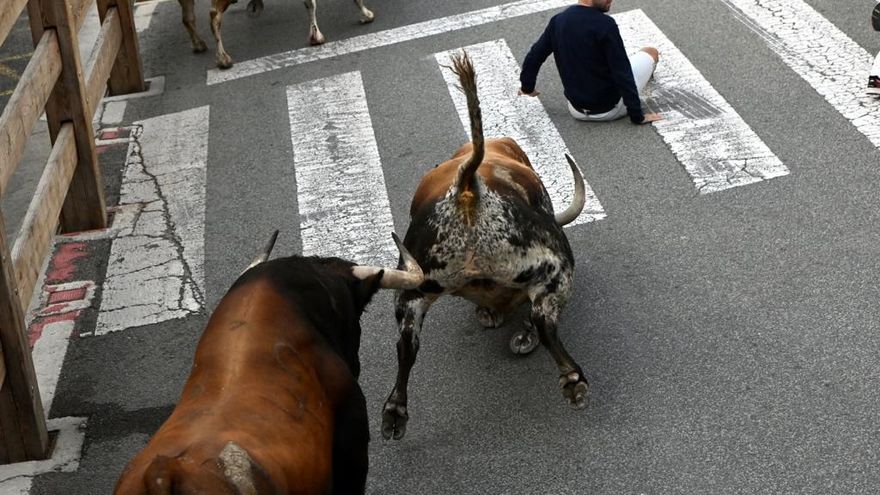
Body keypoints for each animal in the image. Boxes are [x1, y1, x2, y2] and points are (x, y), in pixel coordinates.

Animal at [382, 51, 588, 442]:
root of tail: (469, 185)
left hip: (416, 285)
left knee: (407, 343)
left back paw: (394, 412)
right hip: (556, 264)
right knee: (544, 320)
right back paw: (571, 379)